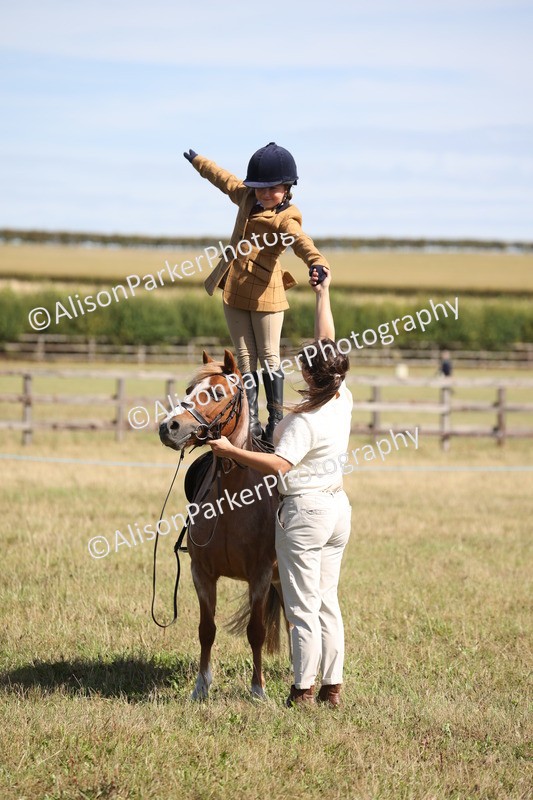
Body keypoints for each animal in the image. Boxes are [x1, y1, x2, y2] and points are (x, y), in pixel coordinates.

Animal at [158, 349, 283, 700]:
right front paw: (201, 687)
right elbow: (206, 630)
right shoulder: (202, 573)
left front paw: (258, 689)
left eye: (216, 393)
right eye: (189, 390)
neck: (232, 500)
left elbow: (256, 632)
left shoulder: (260, 576)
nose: (169, 426)